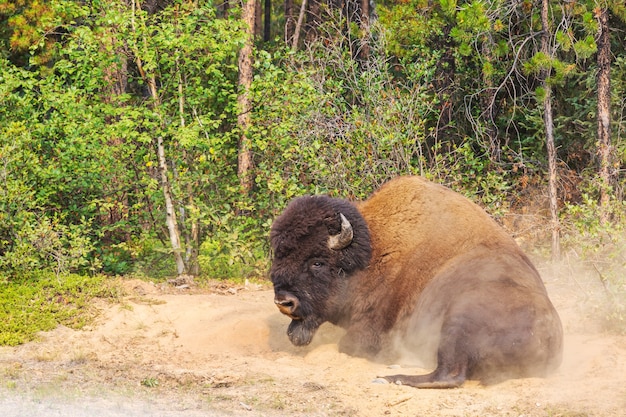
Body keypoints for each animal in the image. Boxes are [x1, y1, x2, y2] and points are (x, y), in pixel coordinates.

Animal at [268, 176, 560, 386]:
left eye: (317, 262)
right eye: (278, 255)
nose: (283, 301)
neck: (371, 250)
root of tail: (551, 336)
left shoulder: (369, 330)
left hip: (459, 318)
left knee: (449, 374)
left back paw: (391, 377)